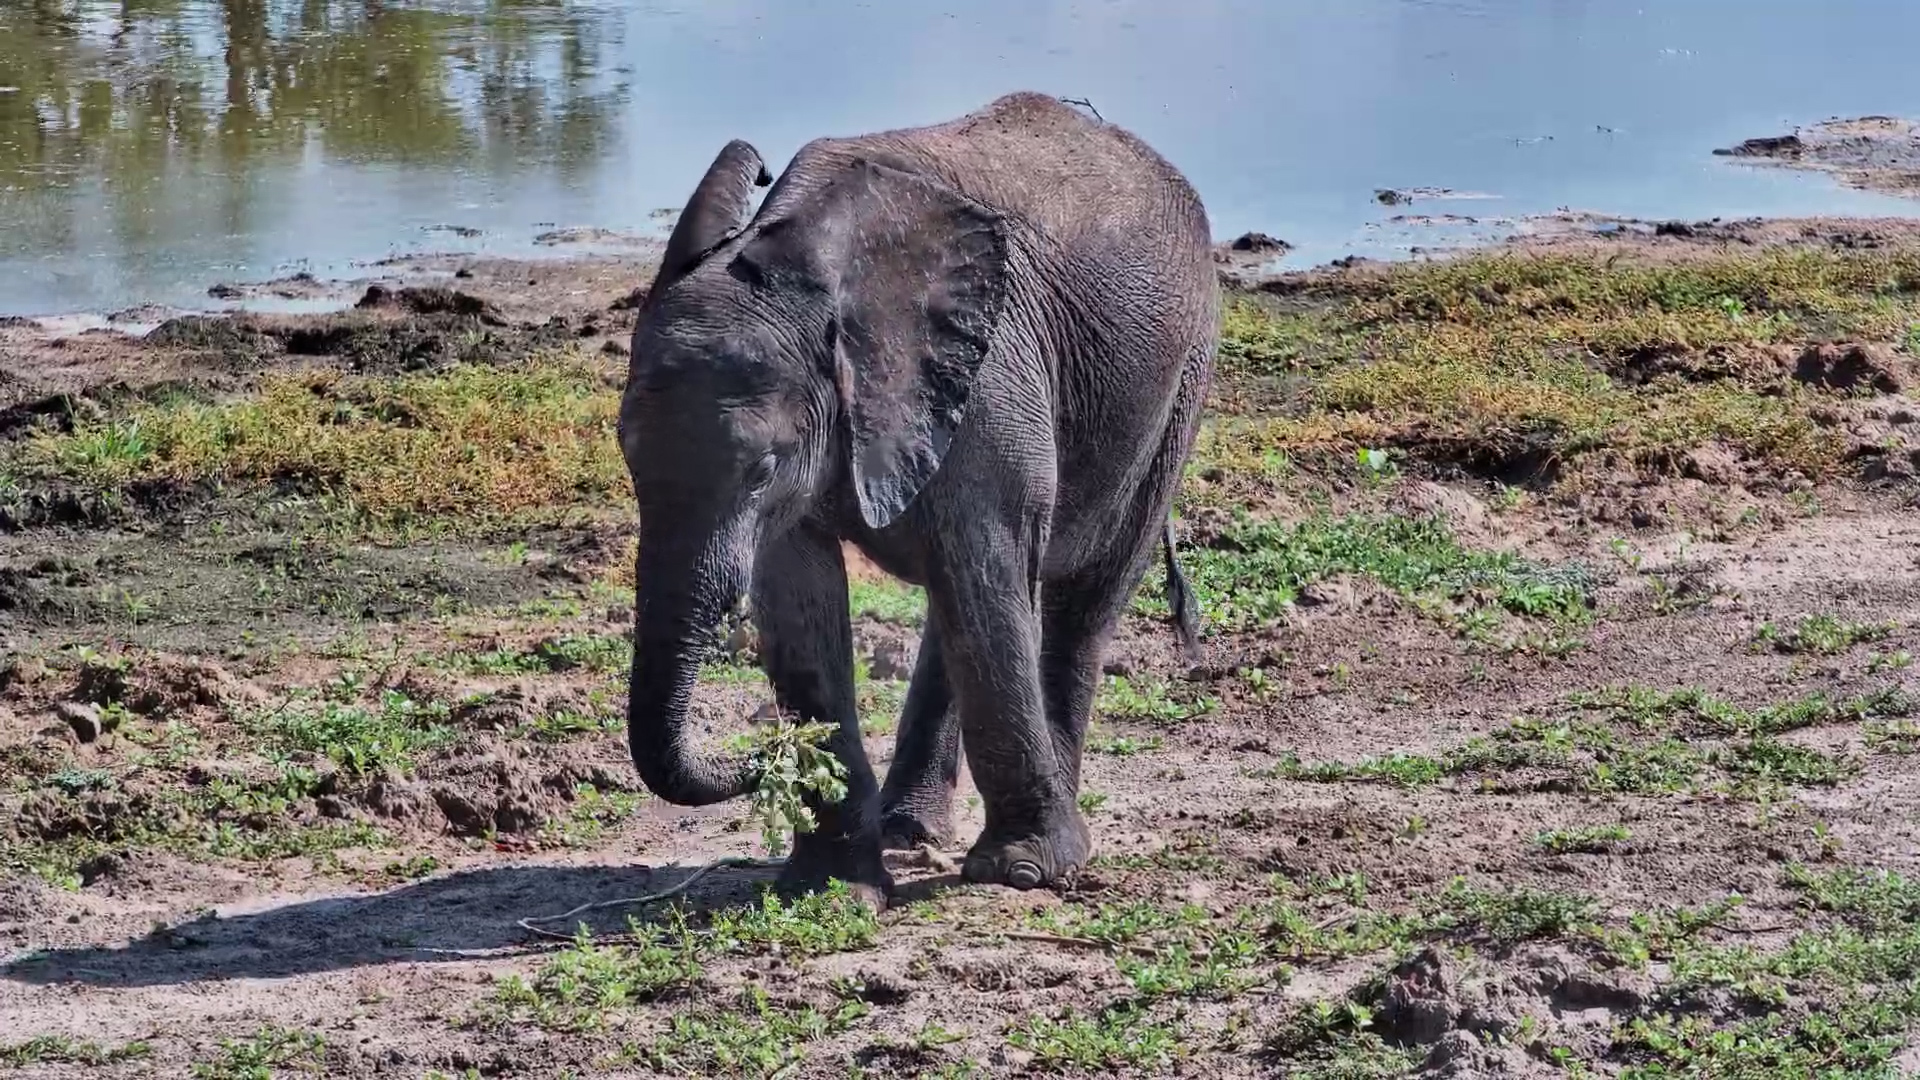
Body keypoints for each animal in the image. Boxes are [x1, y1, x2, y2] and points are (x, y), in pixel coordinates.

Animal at [618, 91, 1218, 906]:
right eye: (627, 456)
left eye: (762, 467)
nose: (758, 758)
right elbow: (802, 606)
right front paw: (833, 888)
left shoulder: (990, 378)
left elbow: (988, 573)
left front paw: (1021, 873)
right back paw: (909, 831)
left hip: (1179, 382)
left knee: (1073, 598)